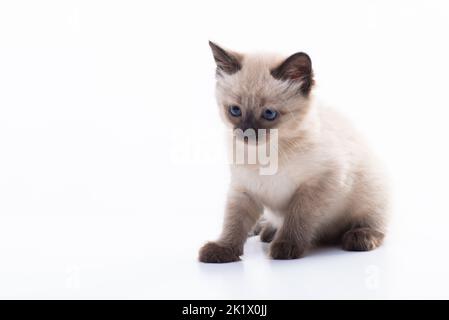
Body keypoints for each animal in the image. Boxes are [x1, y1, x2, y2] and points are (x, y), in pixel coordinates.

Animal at [198, 42, 386, 262]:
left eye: (269, 114)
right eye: (235, 111)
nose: (246, 134)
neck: (266, 153)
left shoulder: (318, 184)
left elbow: (298, 218)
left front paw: (286, 246)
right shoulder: (244, 188)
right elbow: (233, 222)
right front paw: (223, 249)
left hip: (370, 195)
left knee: (374, 224)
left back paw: (359, 237)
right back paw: (268, 232)